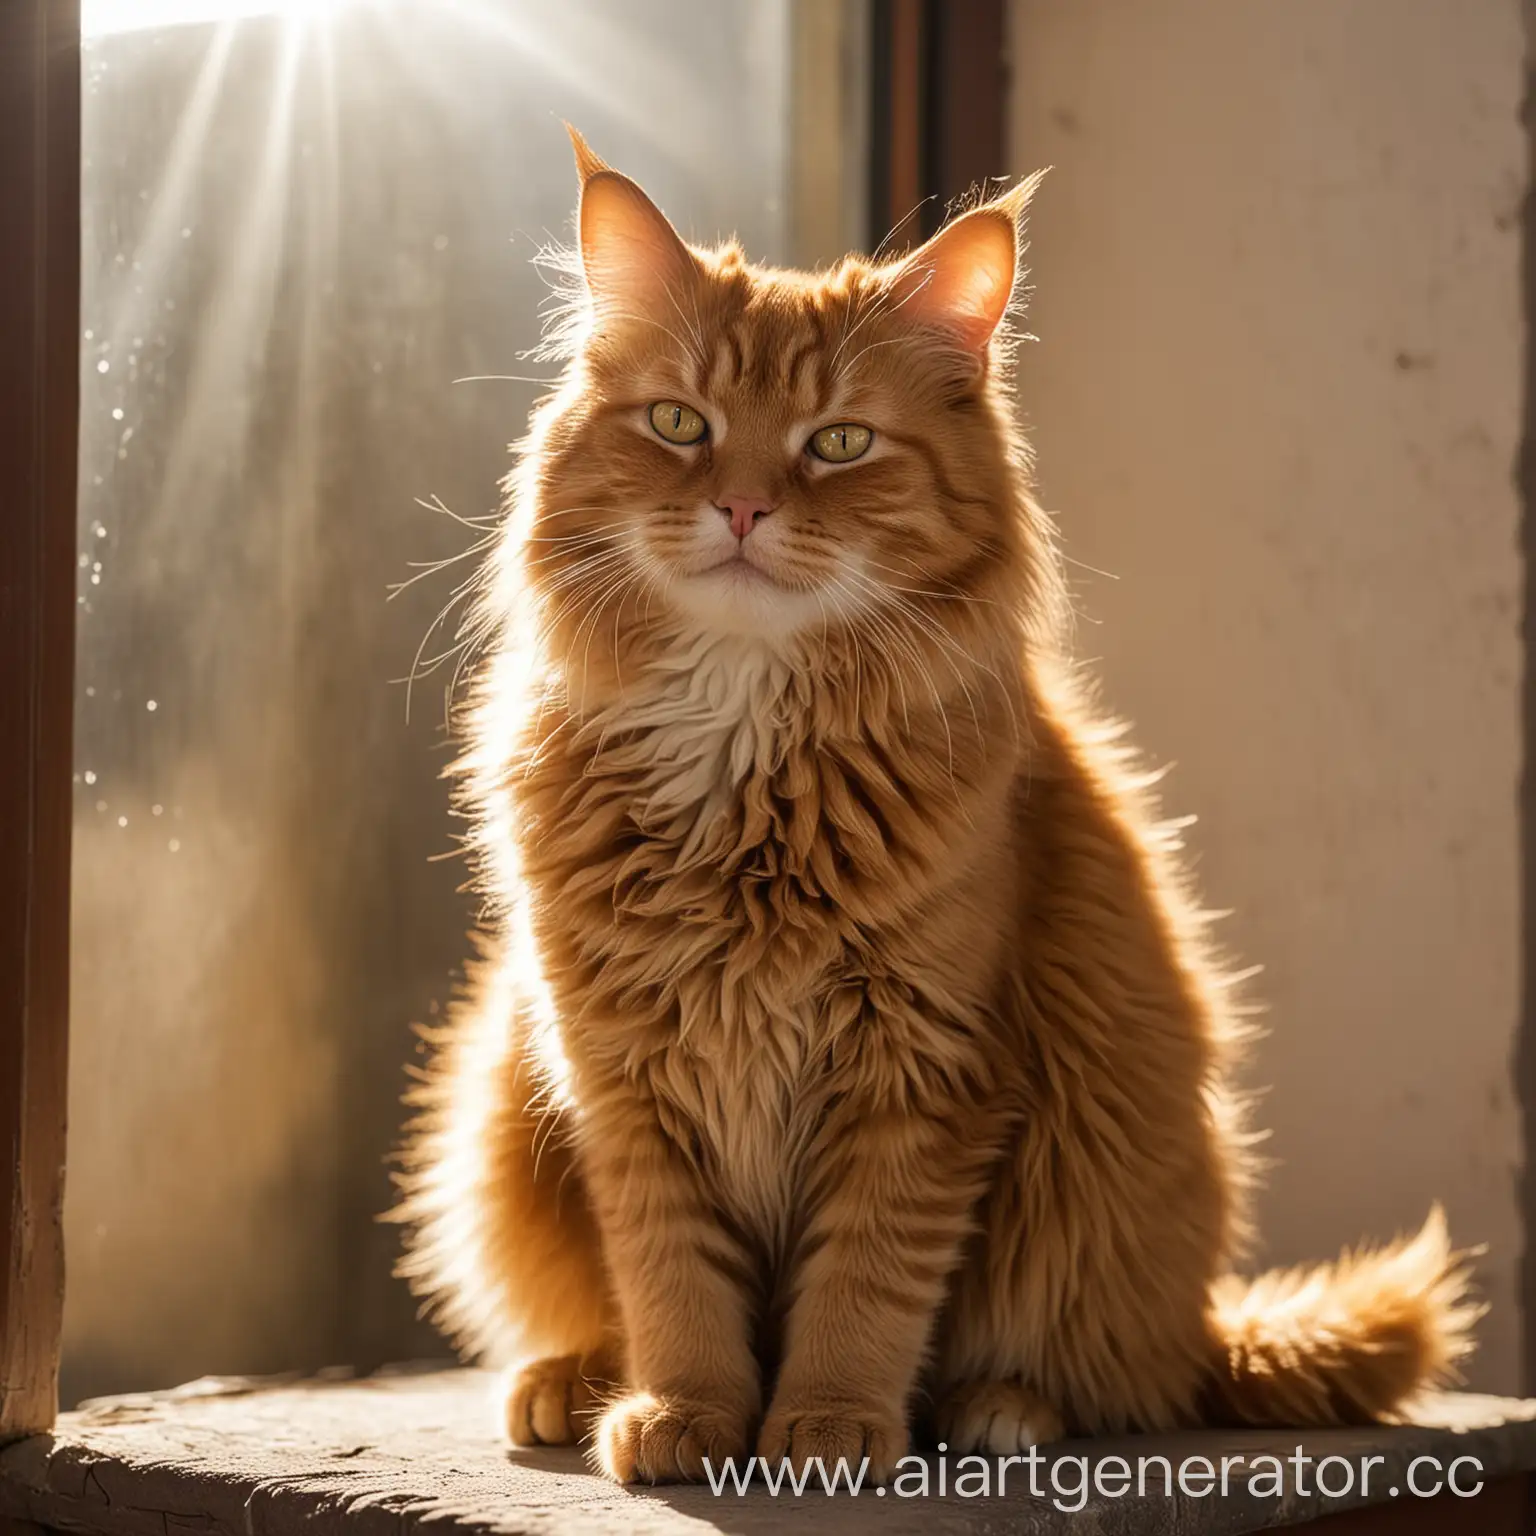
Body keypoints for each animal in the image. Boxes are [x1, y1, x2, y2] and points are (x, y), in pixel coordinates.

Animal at [393, 135, 1474, 1486]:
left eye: (841, 443)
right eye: (682, 424)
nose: (741, 507)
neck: (742, 745)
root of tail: (1201, 1324)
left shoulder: (924, 1067)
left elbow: (865, 1285)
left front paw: (828, 1426)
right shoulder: (624, 1076)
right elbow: (671, 1279)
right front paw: (686, 1413)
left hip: (1099, 1184)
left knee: (1118, 1377)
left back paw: (1001, 1408)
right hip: (500, 1100)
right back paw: (573, 1380)